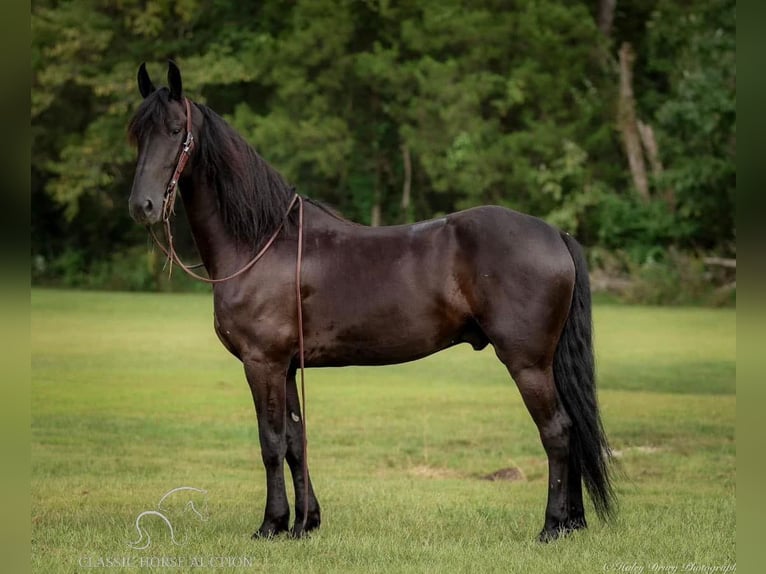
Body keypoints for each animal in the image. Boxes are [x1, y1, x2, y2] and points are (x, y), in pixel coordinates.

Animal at [127, 63, 616, 544]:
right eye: (136, 134)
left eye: (175, 130)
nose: (142, 206)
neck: (260, 243)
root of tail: (555, 233)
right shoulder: (286, 367)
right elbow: (295, 442)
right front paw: (305, 523)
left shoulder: (261, 363)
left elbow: (271, 443)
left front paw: (272, 524)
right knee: (571, 430)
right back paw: (573, 522)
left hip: (527, 362)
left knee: (557, 431)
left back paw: (552, 526)